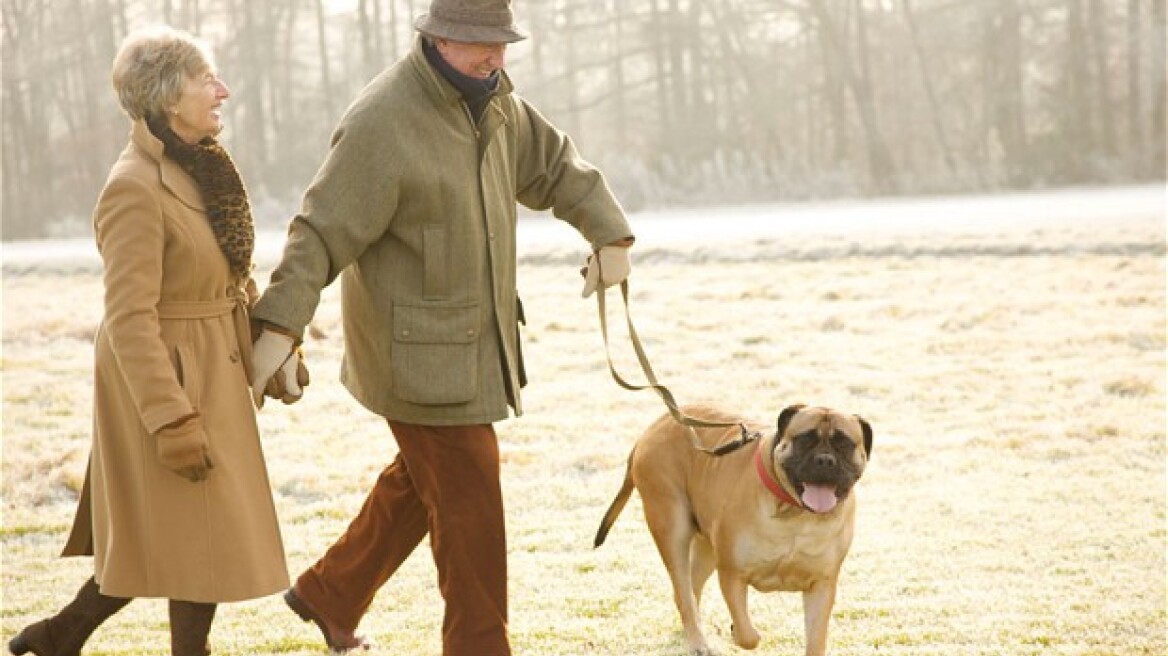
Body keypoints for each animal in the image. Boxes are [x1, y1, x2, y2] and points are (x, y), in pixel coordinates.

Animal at [598, 401, 873, 648]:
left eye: (845, 444)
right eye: (804, 439)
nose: (825, 460)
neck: (795, 515)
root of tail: (653, 427)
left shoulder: (822, 585)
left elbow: (816, 639)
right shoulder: (732, 574)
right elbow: (748, 636)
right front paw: (738, 632)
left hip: (706, 546)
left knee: (690, 587)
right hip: (671, 524)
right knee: (683, 590)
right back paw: (698, 643)